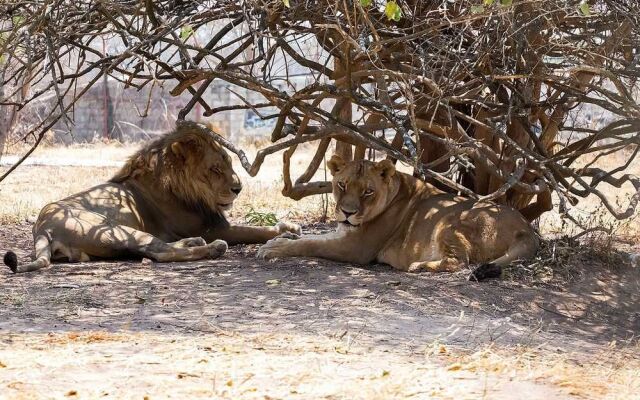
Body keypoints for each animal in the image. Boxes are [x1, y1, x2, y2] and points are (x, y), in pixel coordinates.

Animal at [4, 120, 300, 274]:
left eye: (229, 162)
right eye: (215, 169)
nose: (239, 189)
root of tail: (43, 228)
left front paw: (289, 226)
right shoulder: (215, 227)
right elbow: (253, 230)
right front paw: (284, 234)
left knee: (156, 248)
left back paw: (194, 242)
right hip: (116, 229)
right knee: (161, 252)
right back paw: (212, 248)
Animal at [258, 155, 536, 280]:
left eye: (368, 191)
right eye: (342, 185)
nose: (347, 213)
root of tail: (527, 229)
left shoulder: (356, 248)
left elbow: (311, 244)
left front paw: (273, 248)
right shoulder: (344, 233)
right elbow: (315, 236)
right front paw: (281, 237)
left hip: (449, 221)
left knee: (460, 261)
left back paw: (419, 266)